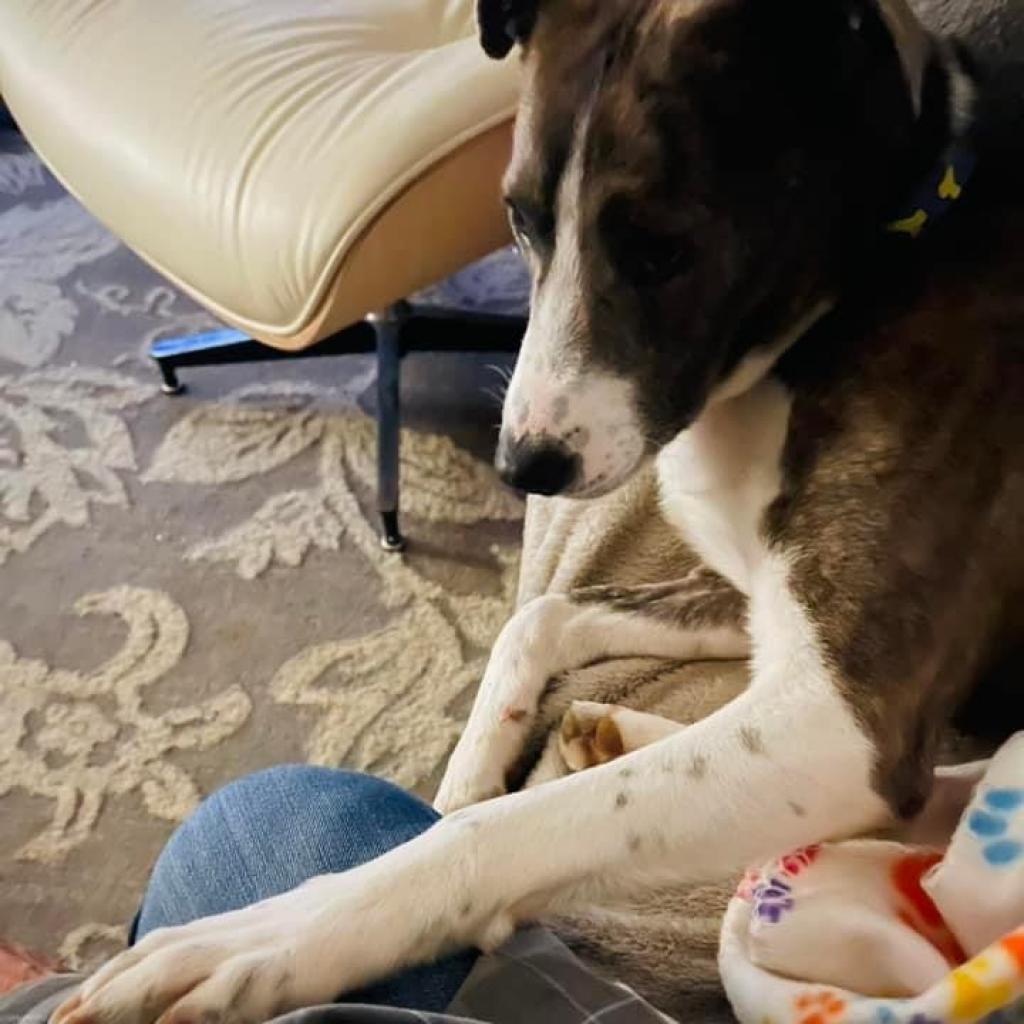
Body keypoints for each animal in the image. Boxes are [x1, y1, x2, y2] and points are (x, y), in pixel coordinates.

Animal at [58, 2, 1024, 1024]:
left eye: (661, 249)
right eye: (519, 222)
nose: (522, 466)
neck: (869, 277)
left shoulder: (853, 720)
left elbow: (489, 834)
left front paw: (266, 937)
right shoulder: (752, 599)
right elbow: (540, 619)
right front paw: (466, 776)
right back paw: (614, 736)